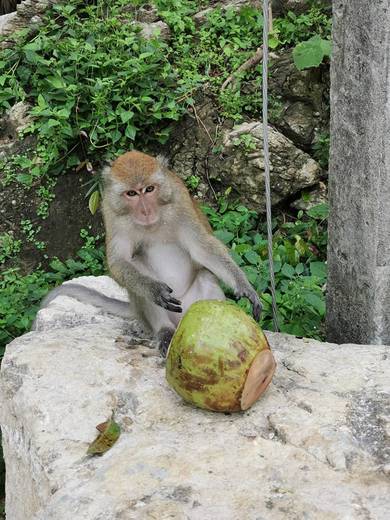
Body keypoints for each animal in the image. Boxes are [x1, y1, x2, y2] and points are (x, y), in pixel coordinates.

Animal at [35, 149, 262, 358]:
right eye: (132, 194)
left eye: (149, 189)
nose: (145, 211)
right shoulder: (111, 212)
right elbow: (119, 261)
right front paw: (153, 289)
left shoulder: (180, 201)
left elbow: (202, 248)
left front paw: (245, 287)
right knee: (136, 276)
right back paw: (165, 332)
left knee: (206, 276)